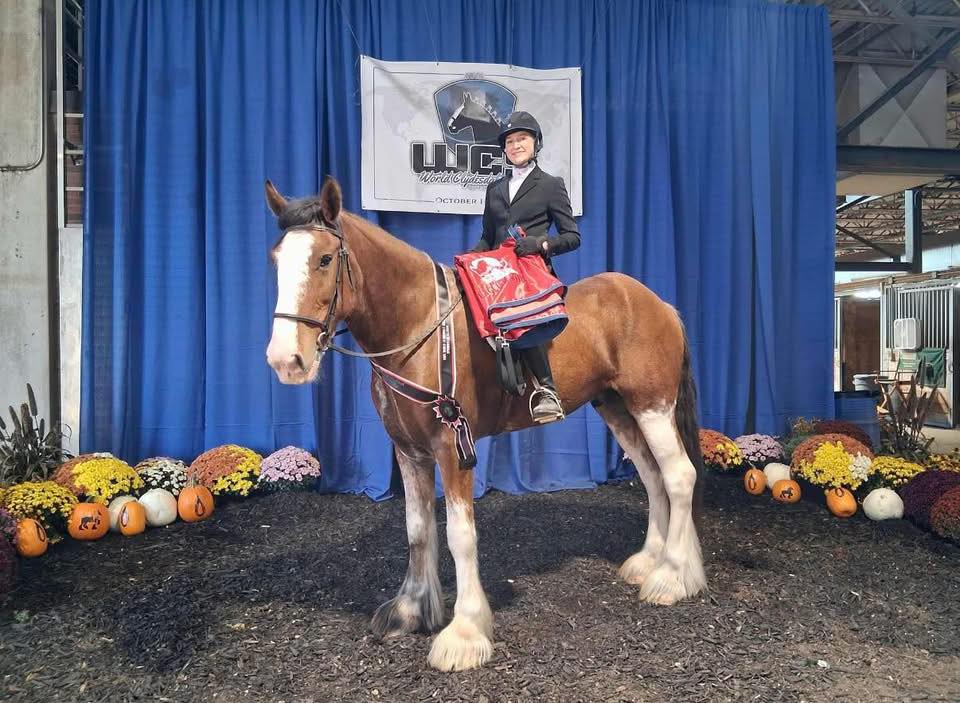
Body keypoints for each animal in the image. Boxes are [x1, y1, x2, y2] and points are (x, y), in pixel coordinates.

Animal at [264, 177, 706, 672]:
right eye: (276, 259)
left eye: (324, 259)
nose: (286, 360)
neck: (419, 327)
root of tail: (658, 302)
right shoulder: (409, 451)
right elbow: (417, 529)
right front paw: (411, 610)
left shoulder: (452, 447)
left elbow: (460, 536)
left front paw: (464, 633)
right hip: (618, 409)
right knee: (653, 478)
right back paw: (650, 562)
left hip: (652, 406)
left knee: (679, 476)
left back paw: (671, 577)